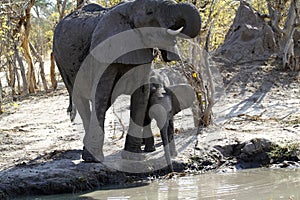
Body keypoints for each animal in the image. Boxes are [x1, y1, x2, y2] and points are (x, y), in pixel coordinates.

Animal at [52, 0, 200, 162]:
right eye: (149, 12)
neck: (129, 8)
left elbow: (141, 93)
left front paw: (134, 157)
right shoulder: (105, 50)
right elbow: (101, 93)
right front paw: (92, 159)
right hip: (61, 62)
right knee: (81, 100)